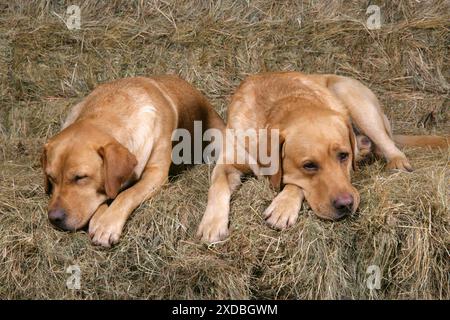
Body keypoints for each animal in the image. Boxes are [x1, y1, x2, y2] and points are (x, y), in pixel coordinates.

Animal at [43, 75, 224, 248]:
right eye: (50, 178)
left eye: (80, 177)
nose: (53, 218)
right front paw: (99, 216)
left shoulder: (156, 175)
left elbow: (127, 194)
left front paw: (107, 224)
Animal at [197, 72, 446, 242]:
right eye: (309, 165)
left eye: (343, 156)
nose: (346, 205)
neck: (283, 103)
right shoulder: (226, 163)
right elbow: (217, 186)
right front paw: (212, 223)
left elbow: (294, 184)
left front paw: (282, 206)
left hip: (352, 99)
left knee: (389, 144)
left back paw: (396, 161)